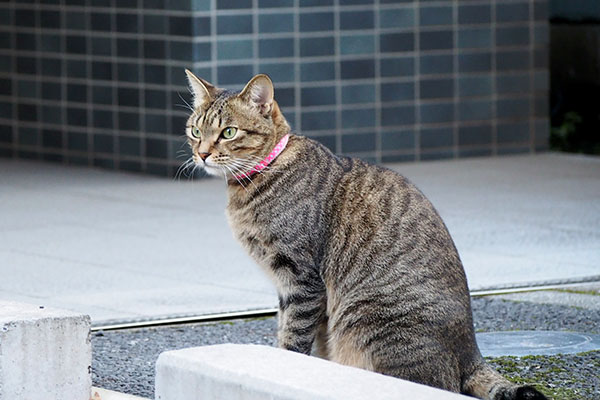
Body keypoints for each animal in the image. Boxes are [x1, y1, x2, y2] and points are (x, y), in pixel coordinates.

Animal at [184, 70, 548, 400]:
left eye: (228, 132)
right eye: (195, 130)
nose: (201, 153)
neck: (263, 174)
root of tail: (471, 352)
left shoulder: (300, 278)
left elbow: (293, 337)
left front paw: (286, 365)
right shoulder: (287, 286)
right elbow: (288, 327)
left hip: (364, 321)